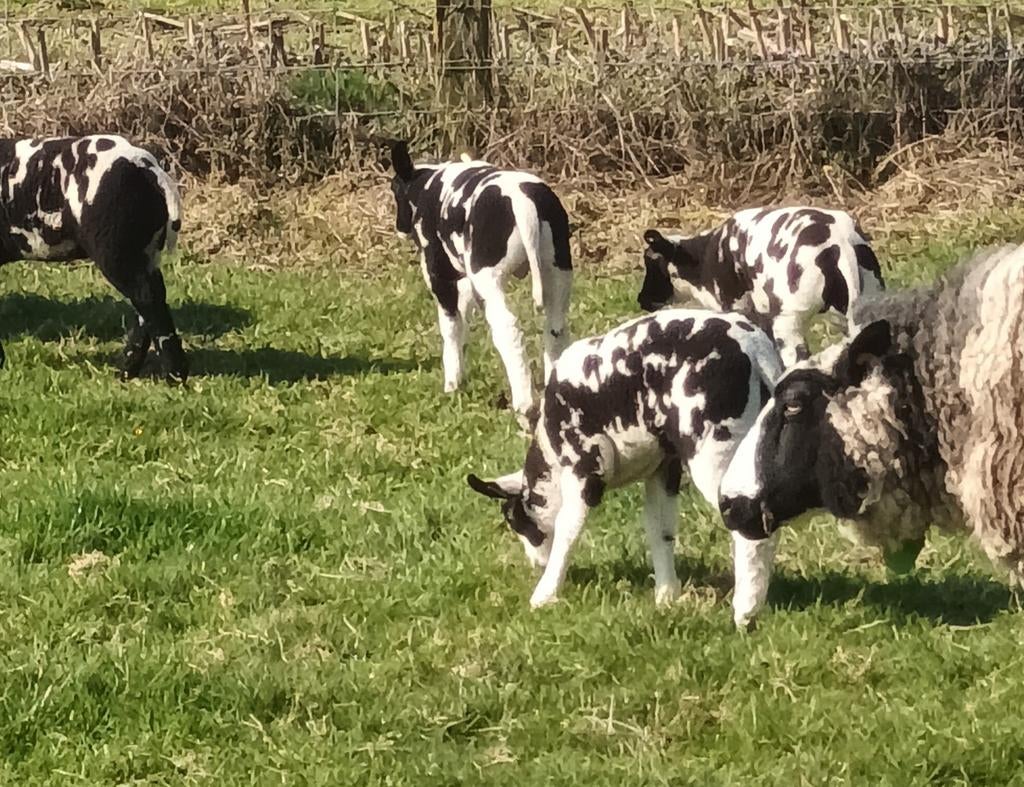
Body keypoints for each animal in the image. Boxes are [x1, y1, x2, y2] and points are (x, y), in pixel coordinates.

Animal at [0, 134, 186, 381]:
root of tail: (150, 169)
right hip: (145, 251)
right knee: (150, 300)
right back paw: (127, 368)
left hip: (116, 251)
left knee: (147, 298)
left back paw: (174, 374)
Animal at [389, 141, 572, 420]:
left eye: (394, 189)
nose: (400, 227)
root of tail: (523, 200)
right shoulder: (466, 281)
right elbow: (464, 322)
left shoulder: (439, 275)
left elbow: (451, 326)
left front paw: (452, 383)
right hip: (558, 272)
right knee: (556, 330)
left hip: (489, 278)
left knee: (507, 328)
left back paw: (523, 403)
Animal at [467, 309, 783, 611]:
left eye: (514, 520)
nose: (535, 565)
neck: (551, 456)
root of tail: (755, 349)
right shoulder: (663, 469)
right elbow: (660, 529)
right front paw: (666, 597)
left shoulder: (584, 468)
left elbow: (568, 528)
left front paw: (545, 594)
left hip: (716, 453)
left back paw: (746, 609)